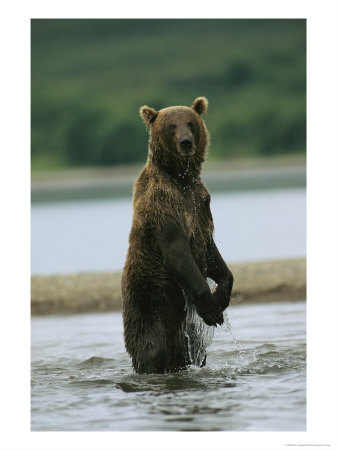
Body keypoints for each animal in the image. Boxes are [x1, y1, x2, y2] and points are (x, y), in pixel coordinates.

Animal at [121, 97, 234, 372]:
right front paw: (212, 307)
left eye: (190, 123)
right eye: (171, 125)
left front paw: (222, 294)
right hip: (152, 301)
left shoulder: (201, 203)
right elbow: (177, 252)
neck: (180, 178)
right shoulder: (162, 205)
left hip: (182, 324)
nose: (186, 142)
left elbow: (212, 251)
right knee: (153, 348)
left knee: (193, 349)